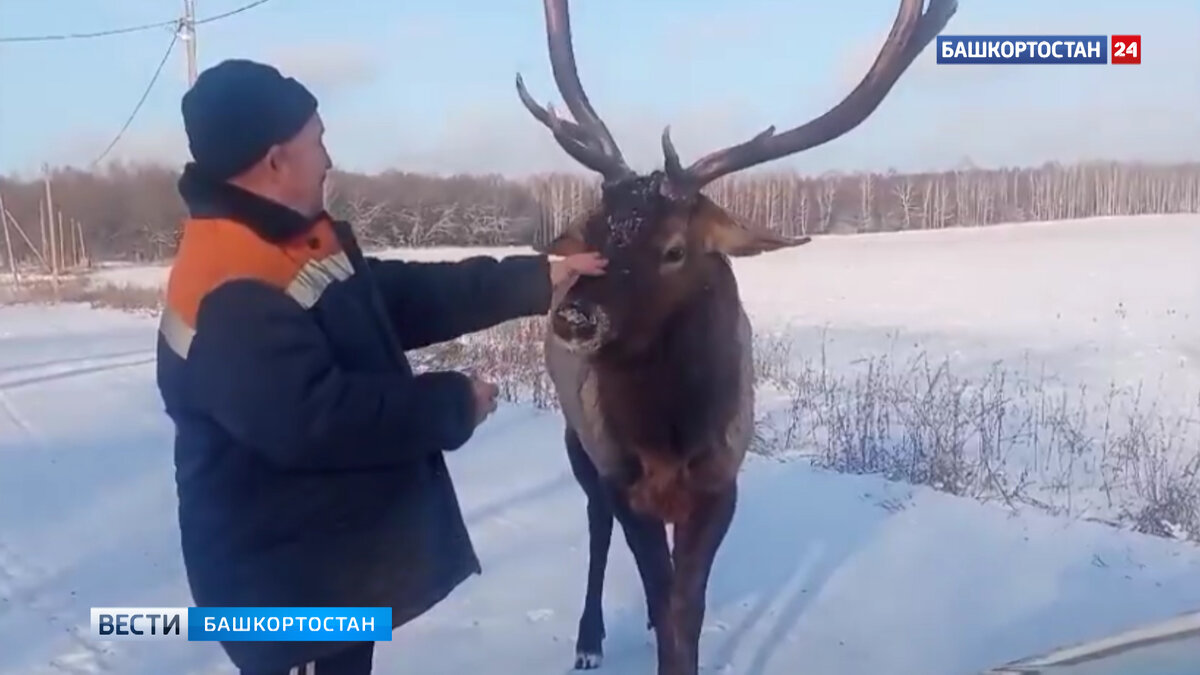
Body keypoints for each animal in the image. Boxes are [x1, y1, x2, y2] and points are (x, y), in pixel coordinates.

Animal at [516, 2, 955, 667]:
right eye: (591, 231)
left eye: (675, 249)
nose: (575, 317)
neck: (672, 439)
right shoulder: (624, 479)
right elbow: (661, 591)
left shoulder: (722, 484)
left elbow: (687, 610)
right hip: (578, 439)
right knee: (595, 526)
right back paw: (589, 640)